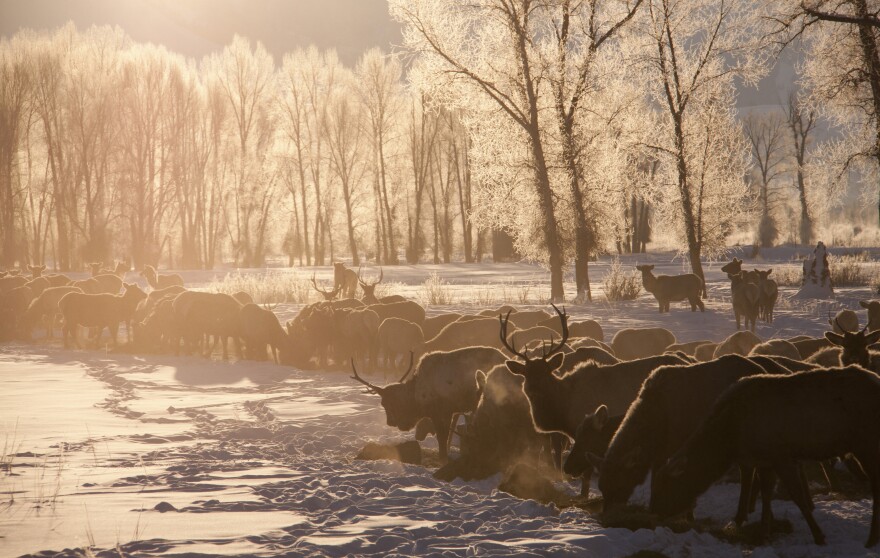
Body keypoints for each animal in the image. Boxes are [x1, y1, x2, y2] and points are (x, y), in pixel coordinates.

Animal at [648, 370, 880, 548]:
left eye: (665, 487)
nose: (653, 513)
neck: (732, 436)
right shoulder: (764, 460)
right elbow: (766, 494)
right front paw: (763, 532)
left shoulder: (781, 456)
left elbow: (798, 497)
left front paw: (819, 535)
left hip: (868, 442)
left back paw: (871, 539)